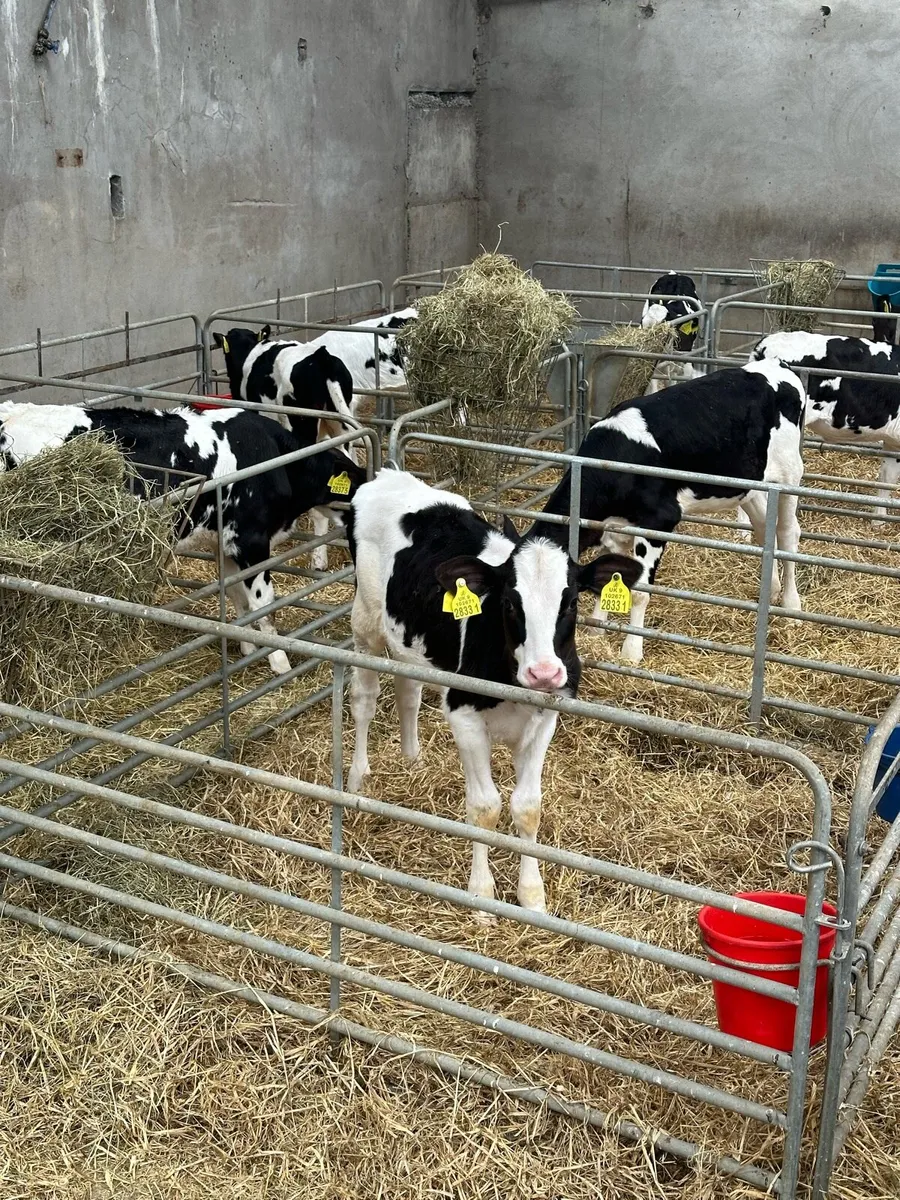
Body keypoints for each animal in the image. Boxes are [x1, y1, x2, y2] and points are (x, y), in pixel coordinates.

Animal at [0, 402, 367, 675]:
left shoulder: (225, 544)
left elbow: (237, 598)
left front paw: (246, 644)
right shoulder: (250, 541)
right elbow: (264, 606)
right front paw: (279, 662)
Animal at [344, 467, 639, 914]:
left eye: (570, 602)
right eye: (509, 603)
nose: (544, 672)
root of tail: (387, 474)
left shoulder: (544, 719)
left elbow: (527, 808)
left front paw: (532, 896)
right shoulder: (464, 715)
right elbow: (484, 810)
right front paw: (482, 896)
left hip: (408, 639)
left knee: (408, 688)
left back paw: (412, 759)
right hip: (366, 626)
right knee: (364, 701)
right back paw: (358, 777)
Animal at [525, 361, 807, 665]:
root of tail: (776, 364)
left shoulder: (658, 521)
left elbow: (639, 592)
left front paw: (631, 652)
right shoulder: (616, 528)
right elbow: (609, 576)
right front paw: (597, 629)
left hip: (790, 474)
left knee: (788, 533)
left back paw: (791, 606)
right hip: (750, 485)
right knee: (765, 528)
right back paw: (772, 589)